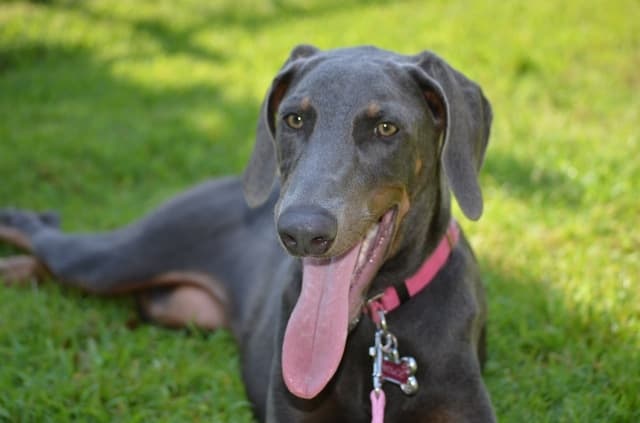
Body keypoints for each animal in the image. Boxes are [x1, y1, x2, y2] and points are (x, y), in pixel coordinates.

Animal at [0, 44, 498, 422]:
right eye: (294, 119)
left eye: (386, 127)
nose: (301, 232)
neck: (376, 328)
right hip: (117, 259)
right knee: (44, 237)